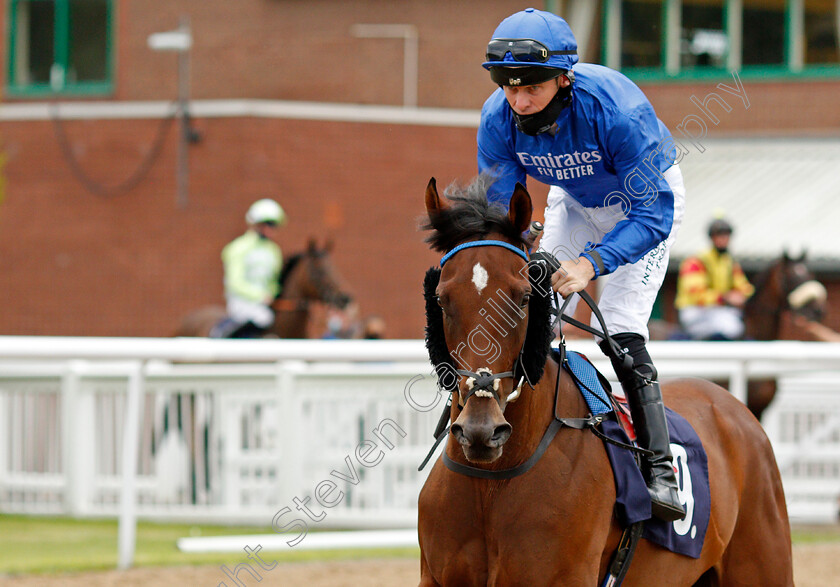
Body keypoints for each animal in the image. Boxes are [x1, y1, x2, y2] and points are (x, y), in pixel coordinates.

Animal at [416, 178, 792, 587]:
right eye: (441, 299)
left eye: (524, 297)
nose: (481, 430)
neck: (492, 479)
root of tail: (734, 408)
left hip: (763, 562)